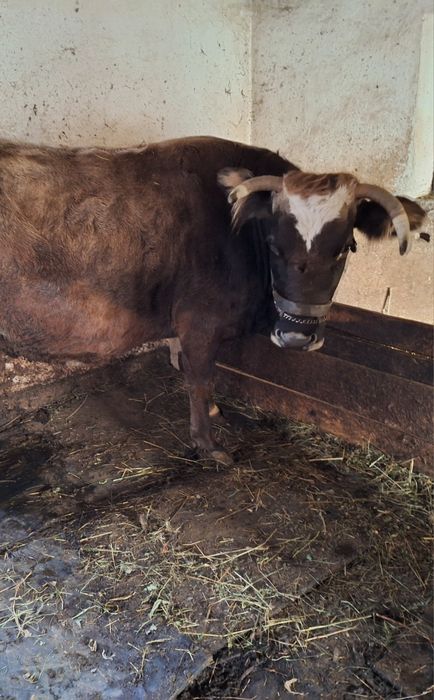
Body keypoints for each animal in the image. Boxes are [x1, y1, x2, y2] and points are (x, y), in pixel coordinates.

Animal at [0, 136, 425, 464]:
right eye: (274, 244)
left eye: (344, 248)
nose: (296, 336)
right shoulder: (200, 323)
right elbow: (201, 378)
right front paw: (208, 444)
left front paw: (214, 413)